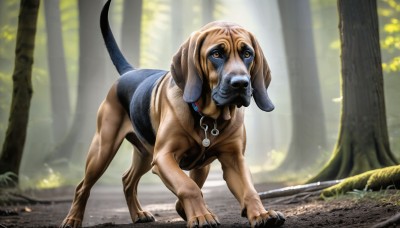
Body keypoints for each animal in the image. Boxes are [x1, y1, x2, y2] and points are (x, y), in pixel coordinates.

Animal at [60, 0, 284, 228]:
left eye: (247, 54)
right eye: (216, 54)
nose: (240, 83)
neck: (207, 118)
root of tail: (129, 72)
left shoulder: (233, 159)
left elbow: (248, 190)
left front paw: (260, 213)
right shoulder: (163, 157)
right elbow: (188, 187)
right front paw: (201, 216)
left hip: (148, 155)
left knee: (127, 180)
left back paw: (139, 213)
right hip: (102, 150)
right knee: (82, 187)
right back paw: (73, 218)